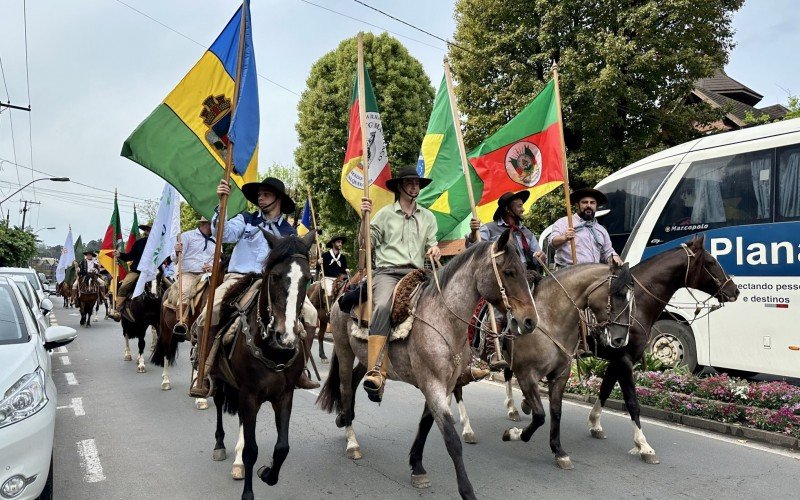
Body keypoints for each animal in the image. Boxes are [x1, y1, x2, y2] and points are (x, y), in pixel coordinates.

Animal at [209, 231, 316, 500]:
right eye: (276, 276)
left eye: (308, 279)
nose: (286, 337)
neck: (272, 350)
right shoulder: (250, 396)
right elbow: (251, 450)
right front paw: (248, 493)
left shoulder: (284, 395)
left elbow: (282, 447)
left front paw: (268, 474)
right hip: (220, 379)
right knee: (219, 404)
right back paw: (219, 445)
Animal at [318, 229, 536, 498]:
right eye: (509, 271)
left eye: (525, 271)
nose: (530, 321)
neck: (443, 318)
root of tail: (346, 290)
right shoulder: (432, 383)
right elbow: (451, 438)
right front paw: (467, 490)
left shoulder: (445, 384)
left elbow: (426, 423)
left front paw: (417, 466)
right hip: (344, 350)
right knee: (346, 388)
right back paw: (351, 441)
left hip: (366, 355)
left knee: (361, 378)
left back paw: (352, 409)